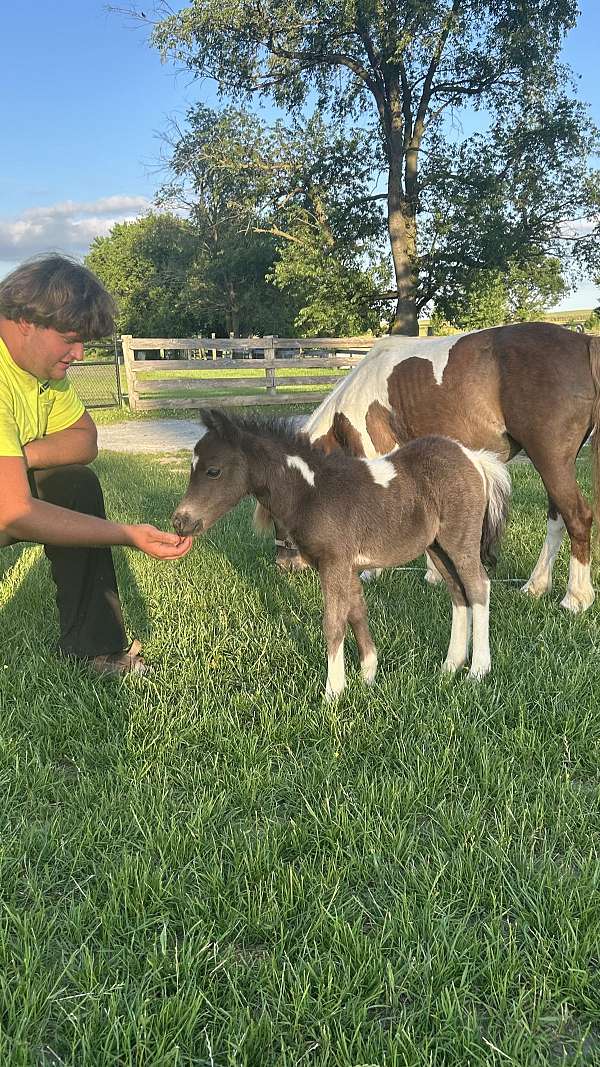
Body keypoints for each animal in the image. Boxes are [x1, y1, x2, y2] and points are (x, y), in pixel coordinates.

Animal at [172, 409, 511, 699]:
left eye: (213, 470)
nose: (180, 522)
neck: (312, 492)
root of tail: (474, 458)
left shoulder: (333, 563)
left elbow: (333, 623)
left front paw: (333, 692)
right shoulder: (348, 565)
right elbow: (356, 612)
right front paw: (368, 675)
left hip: (460, 541)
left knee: (478, 587)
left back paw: (478, 670)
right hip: (437, 546)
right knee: (458, 592)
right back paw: (450, 665)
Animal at [257, 322, 600, 613]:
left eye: (278, 511)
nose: (284, 565)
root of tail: (583, 342)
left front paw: (372, 572)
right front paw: (434, 575)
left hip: (550, 460)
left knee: (577, 517)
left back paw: (575, 599)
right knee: (557, 519)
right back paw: (535, 587)